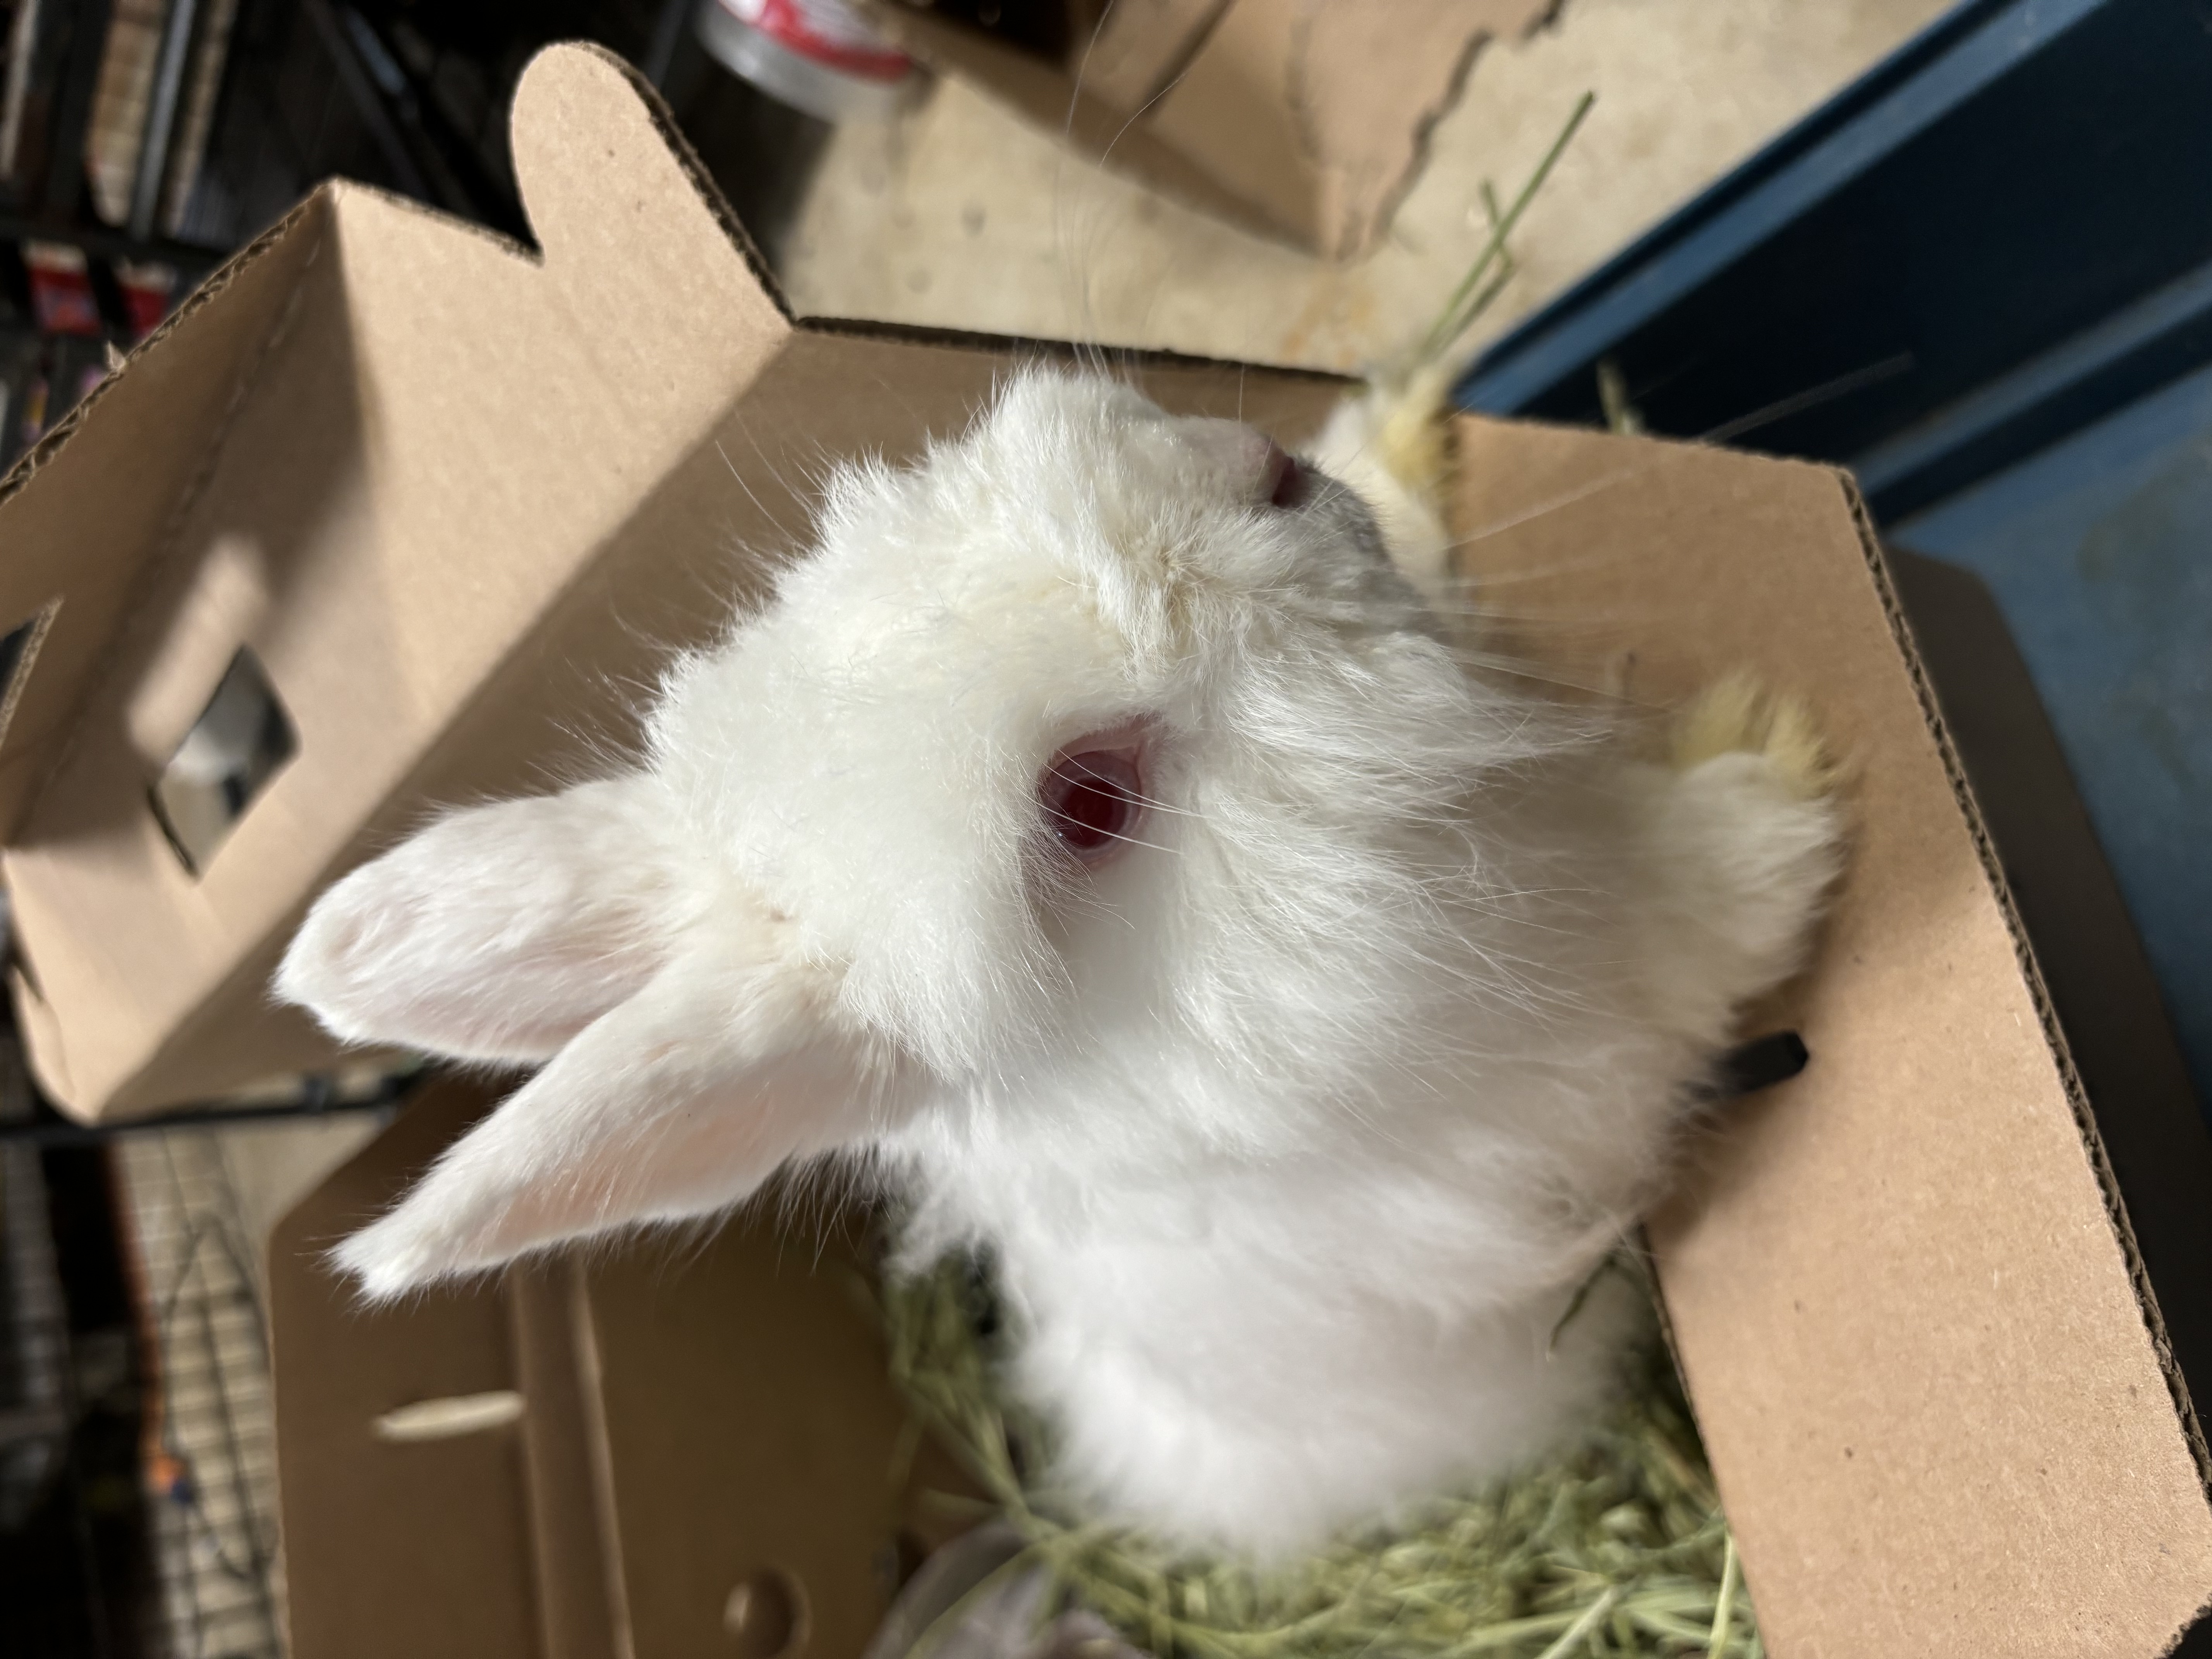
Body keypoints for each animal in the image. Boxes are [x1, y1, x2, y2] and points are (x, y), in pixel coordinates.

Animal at [276, 367, 1842, 1560]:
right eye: (1088, 801)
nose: (1262, 467)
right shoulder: (1571, 1030)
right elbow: (1697, 934)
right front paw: (1779, 762)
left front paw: (1395, 422)